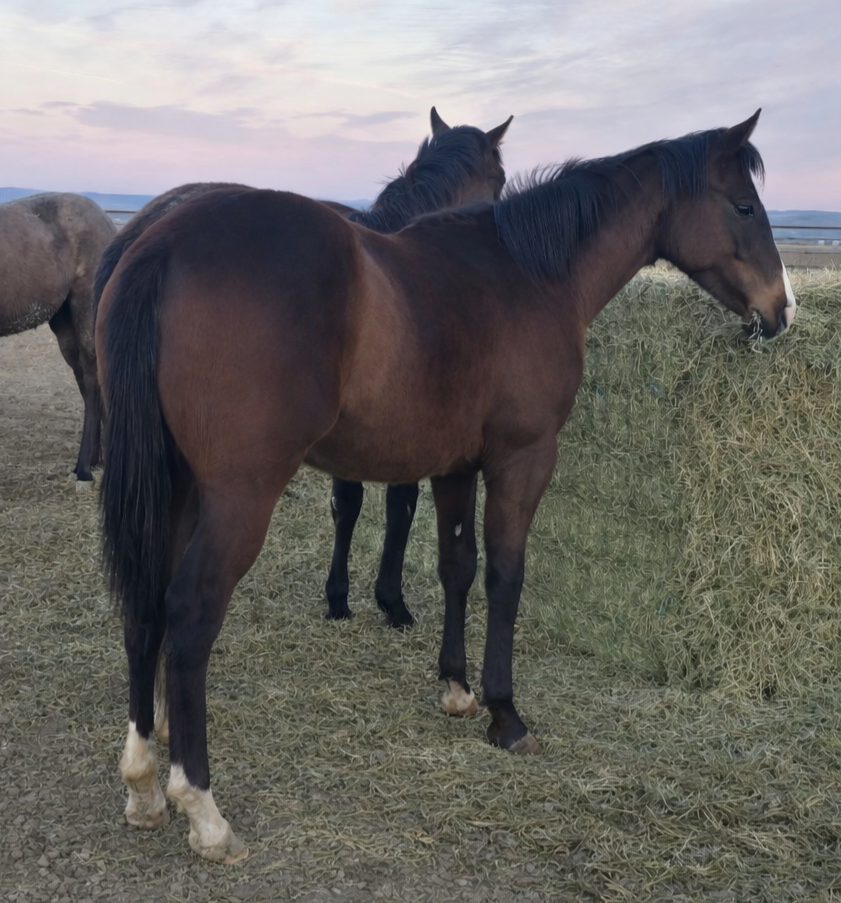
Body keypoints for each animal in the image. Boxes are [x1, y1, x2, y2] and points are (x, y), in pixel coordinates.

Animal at [0, 192, 117, 481]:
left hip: (86, 309)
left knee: (93, 379)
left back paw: (85, 468)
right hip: (66, 327)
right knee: (86, 384)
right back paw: (95, 460)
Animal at [92, 107, 513, 630]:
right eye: (500, 179)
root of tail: (148, 238)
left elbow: (350, 505)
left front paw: (342, 596)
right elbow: (394, 507)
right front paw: (384, 599)